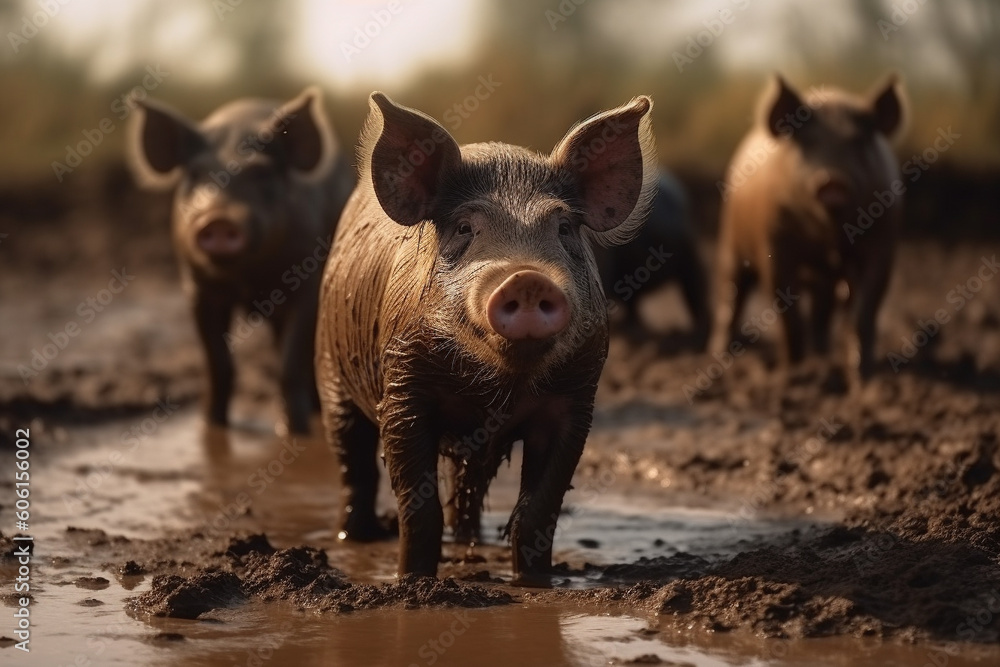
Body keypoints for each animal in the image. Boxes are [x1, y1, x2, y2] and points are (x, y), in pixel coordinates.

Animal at [129, 87, 354, 434]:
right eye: (195, 174)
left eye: (261, 173)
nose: (219, 219)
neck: (247, 281)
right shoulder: (198, 288)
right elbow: (218, 363)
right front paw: (212, 427)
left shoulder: (306, 283)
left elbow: (290, 364)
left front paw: (295, 433)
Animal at [318, 91, 656, 580]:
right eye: (464, 227)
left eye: (564, 228)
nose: (527, 278)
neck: (495, 393)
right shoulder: (403, 389)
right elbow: (417, 509)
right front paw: (412, 583)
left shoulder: (576, 401)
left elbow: (539, 509)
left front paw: (534, 585)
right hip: (329, 371)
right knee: (353, 465)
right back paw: (354, 540)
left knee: (467, 489)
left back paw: (468, 547)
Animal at [712, 73, 908, 380]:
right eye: (808, 142)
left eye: (859, 141)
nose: (833, 180)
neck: (829, 233)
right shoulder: (774, 244)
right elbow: (786, 311)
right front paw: (791, 373)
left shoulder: (883, 244)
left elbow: (865, 309)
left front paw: (862, 378)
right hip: (731, 241)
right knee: (730, 294)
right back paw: (718, 356)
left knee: (823, 310)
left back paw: (823, 356)